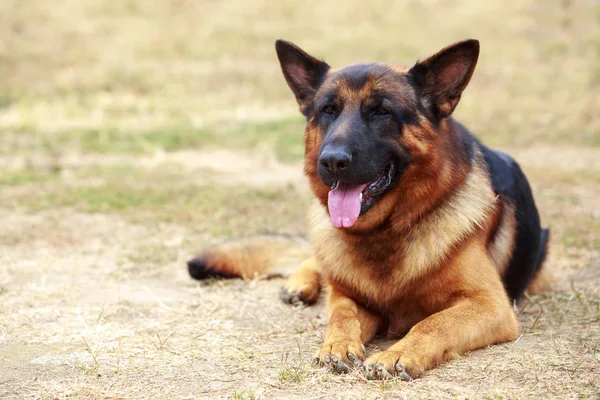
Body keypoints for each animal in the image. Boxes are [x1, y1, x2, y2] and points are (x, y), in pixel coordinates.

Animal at [188, 40, 548, 382]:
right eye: (328, 110)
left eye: (382, 112)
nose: (331, 161)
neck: (383, 231)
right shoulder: (348, 295)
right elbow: (340, 313)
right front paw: (336, 346)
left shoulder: (489, 305)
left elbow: (434, 323)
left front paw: (398, 354)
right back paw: (299, 282)